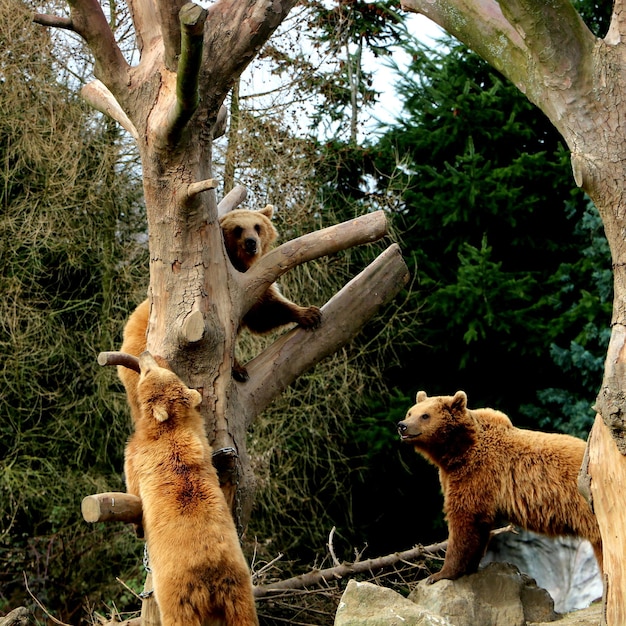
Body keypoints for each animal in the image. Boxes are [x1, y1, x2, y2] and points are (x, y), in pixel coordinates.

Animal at [124, 352, 258, 624]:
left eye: (148, 372)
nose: (145, 354)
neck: (169, 427)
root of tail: (211, 576)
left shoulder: (138, 454)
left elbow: (131, 484)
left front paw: (137, 528)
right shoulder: (198, 438)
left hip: (179, 593)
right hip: (237, 588)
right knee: (245, 614)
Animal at [394, 388, 600, 584]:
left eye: (425, 415)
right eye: (410, 412)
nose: (402, 425)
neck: (458, 451)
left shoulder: (476, 473)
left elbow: (465, 520)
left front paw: (439, 574)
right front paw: (469, 567)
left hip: (586, 504)